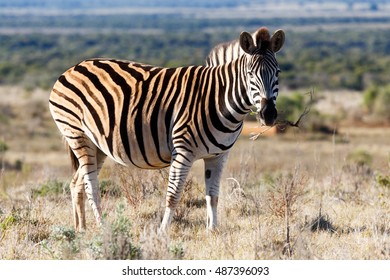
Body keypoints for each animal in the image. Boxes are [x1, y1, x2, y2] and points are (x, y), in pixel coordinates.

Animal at [48, 27, 284, 232]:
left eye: (278, 73)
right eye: (250, 74)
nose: (268, 114)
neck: (218, 99)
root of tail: (74, 67)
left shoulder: (218, 156)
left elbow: (213, 195)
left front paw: (213, 231)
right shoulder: (183, 151)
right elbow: (174, 195)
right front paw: (162, 232)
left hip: (97, 144)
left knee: (76, 183)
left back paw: (81, 230)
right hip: (77, 134)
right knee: (91, 185)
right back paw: (103, 228)